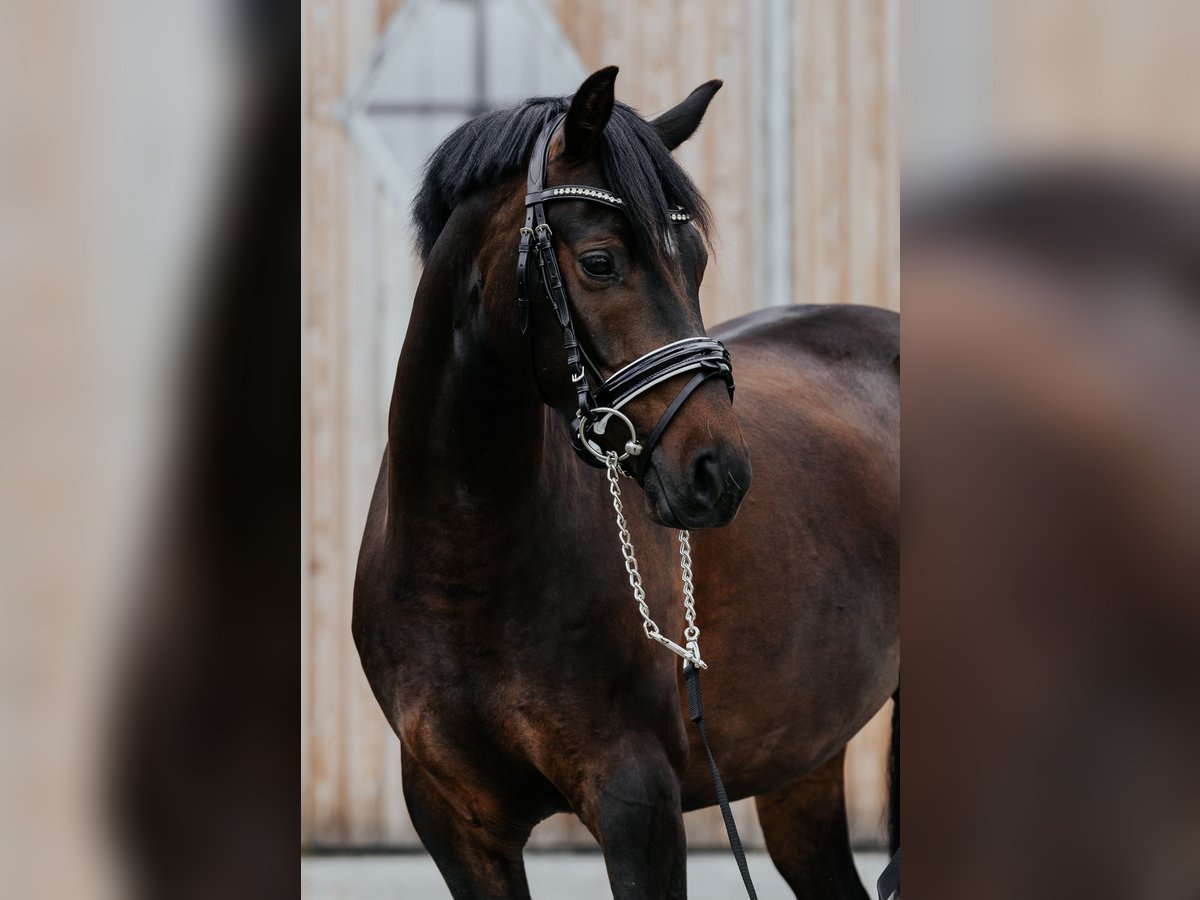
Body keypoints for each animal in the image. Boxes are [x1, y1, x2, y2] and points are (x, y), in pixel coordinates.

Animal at [350, 66, 897, 897]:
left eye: (694, 261)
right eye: (601, 261)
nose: (718, 474)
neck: (463, 560)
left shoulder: (638, 804)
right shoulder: (455, 823)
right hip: (802, 760)